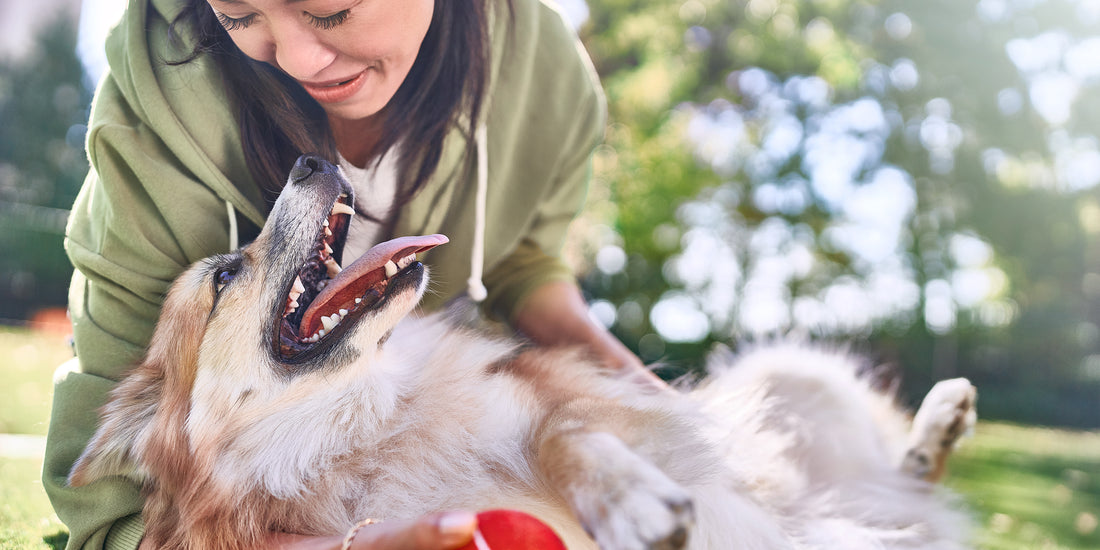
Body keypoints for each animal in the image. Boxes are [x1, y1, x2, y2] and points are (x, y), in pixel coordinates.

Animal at [73, 155, 976, 550]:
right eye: (226, 274)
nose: (311, 155)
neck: (359, 431)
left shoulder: (565, 395)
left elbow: (561, 432)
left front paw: (630, 501)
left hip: (787, 373)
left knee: (898, 472)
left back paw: (940, 421)